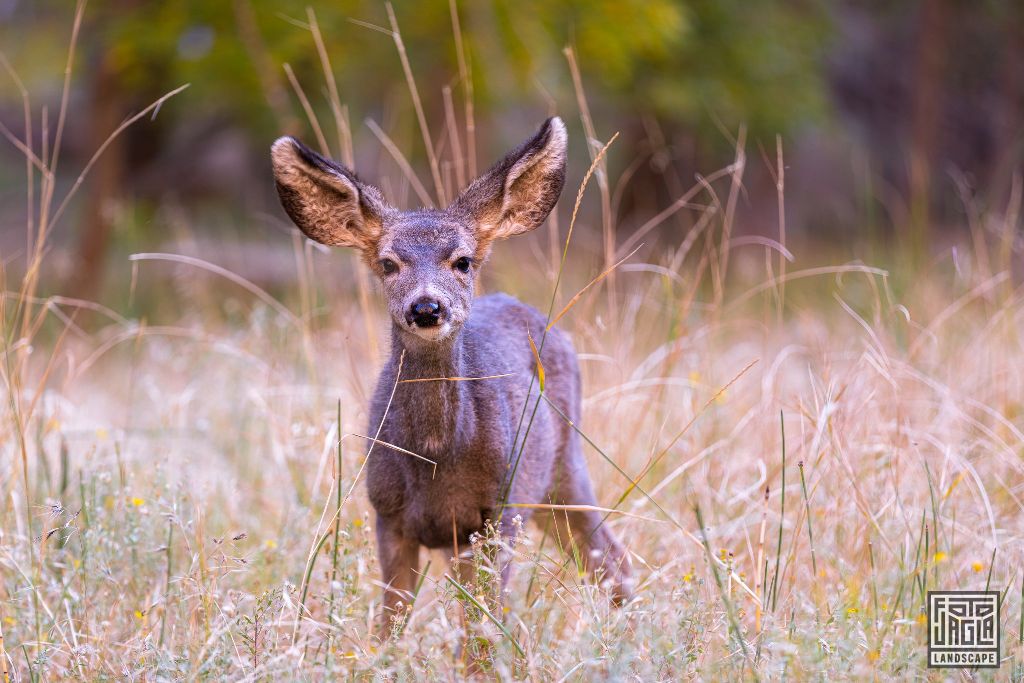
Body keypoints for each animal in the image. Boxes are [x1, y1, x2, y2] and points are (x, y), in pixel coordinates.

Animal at [272, 116, 634, 626]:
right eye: (388, 263)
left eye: (462, 261)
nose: (426, 307)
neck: (436, 457)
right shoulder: (388, 514)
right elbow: (391, 624)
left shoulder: (495, 513)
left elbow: (482, 627)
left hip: (564, 467)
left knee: (611, 558)